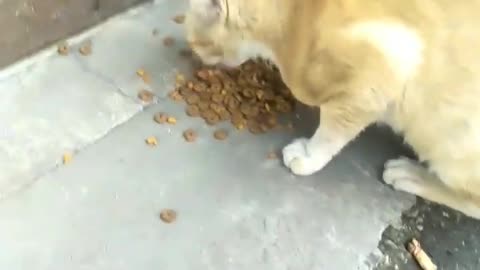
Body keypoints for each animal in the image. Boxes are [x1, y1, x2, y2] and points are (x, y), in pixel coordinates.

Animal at [185, 0, 480, 219]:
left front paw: (308, 156)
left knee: (471, 203)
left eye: (196, 41)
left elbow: (331, 133)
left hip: (452, 139)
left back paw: (411, 175)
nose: (197, 58)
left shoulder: (377, 73)